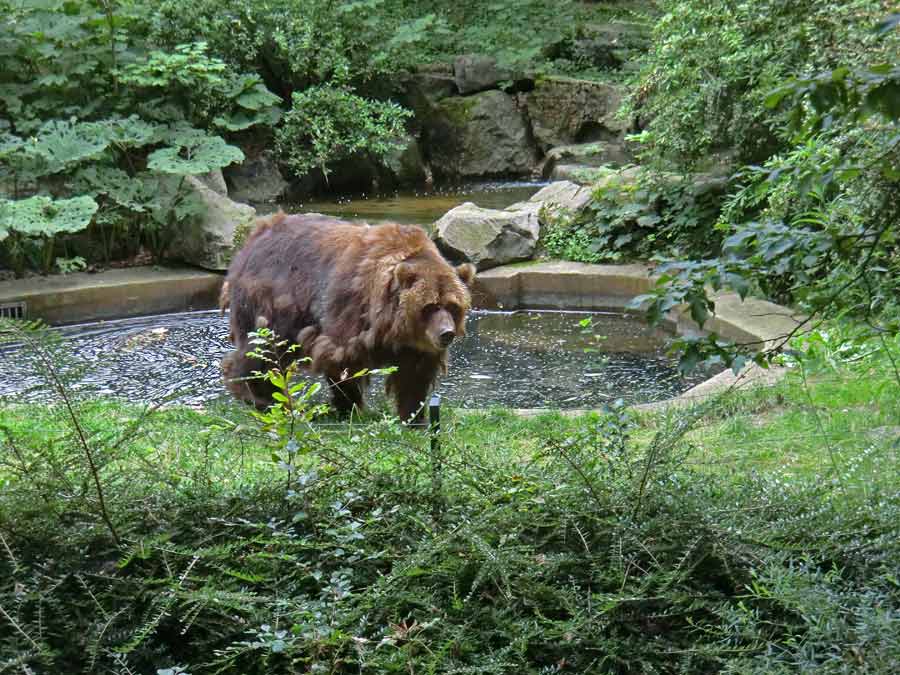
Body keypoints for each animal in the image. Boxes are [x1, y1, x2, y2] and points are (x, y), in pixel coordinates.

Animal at [219, 211, 478, 426]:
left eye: (453, 306)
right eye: (430, 306)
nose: (446, 333)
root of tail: (256, 234)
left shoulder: (416, 345)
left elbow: (414, 376)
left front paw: (414, 417)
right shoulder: (349, 309)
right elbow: (342, 360)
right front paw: (349, 406)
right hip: (275, 300)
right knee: (263, 348)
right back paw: (260, 397)